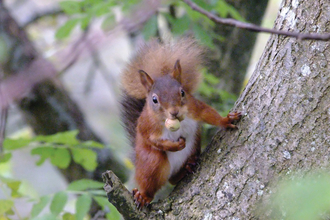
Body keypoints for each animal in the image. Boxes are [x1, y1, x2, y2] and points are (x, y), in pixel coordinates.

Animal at [120, 37, 241, 208]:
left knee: (173, 178)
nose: (174, 112)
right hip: (151, 163)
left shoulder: (194, 107)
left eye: (182, 92)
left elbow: (209, 114)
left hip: (194, 144)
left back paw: (187, 167)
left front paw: (226, 120)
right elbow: (152, 140)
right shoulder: (146, 125)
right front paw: (175, 145)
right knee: (155, 181)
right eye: (154, 100)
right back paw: (143, 196)